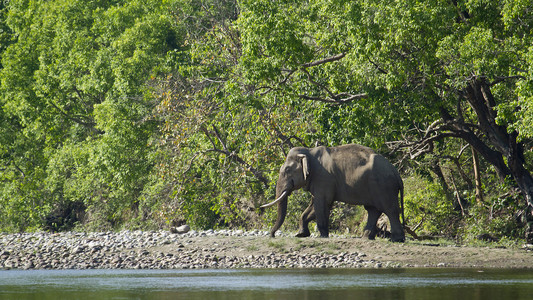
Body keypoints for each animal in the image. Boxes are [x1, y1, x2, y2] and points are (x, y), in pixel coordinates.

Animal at [260, 144, 404, 243]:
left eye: (287, 170)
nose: (272, 235)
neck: (309, 151)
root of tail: (397, 173)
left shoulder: (323, 178)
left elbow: (321, 204)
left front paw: (322, 236)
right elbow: (313, 206)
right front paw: (301, 234)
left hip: (384, 187)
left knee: (390, 210)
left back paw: (396, 239)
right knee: (373, 210)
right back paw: (366, 237)